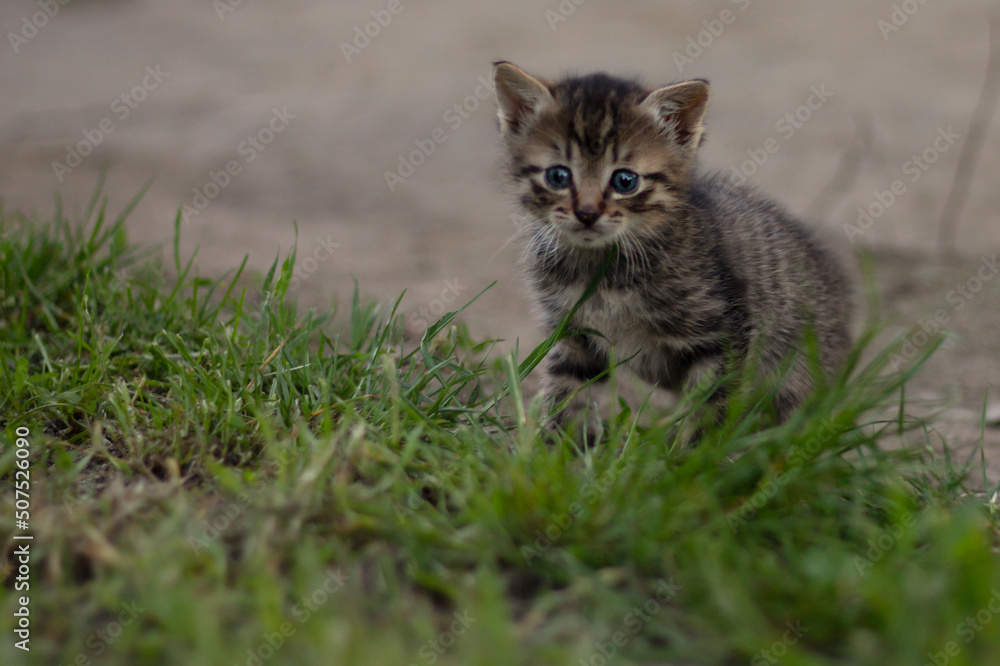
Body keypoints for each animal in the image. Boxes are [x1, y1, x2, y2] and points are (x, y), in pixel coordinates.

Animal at [492, 59, 852, 438]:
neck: (602, 268)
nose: (587, 213)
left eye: (625, 181)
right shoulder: (574, 333)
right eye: (558, 176)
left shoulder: (721, 336)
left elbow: (709, 409)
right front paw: (558, 447)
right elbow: (568, 393)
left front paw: (696, 452)